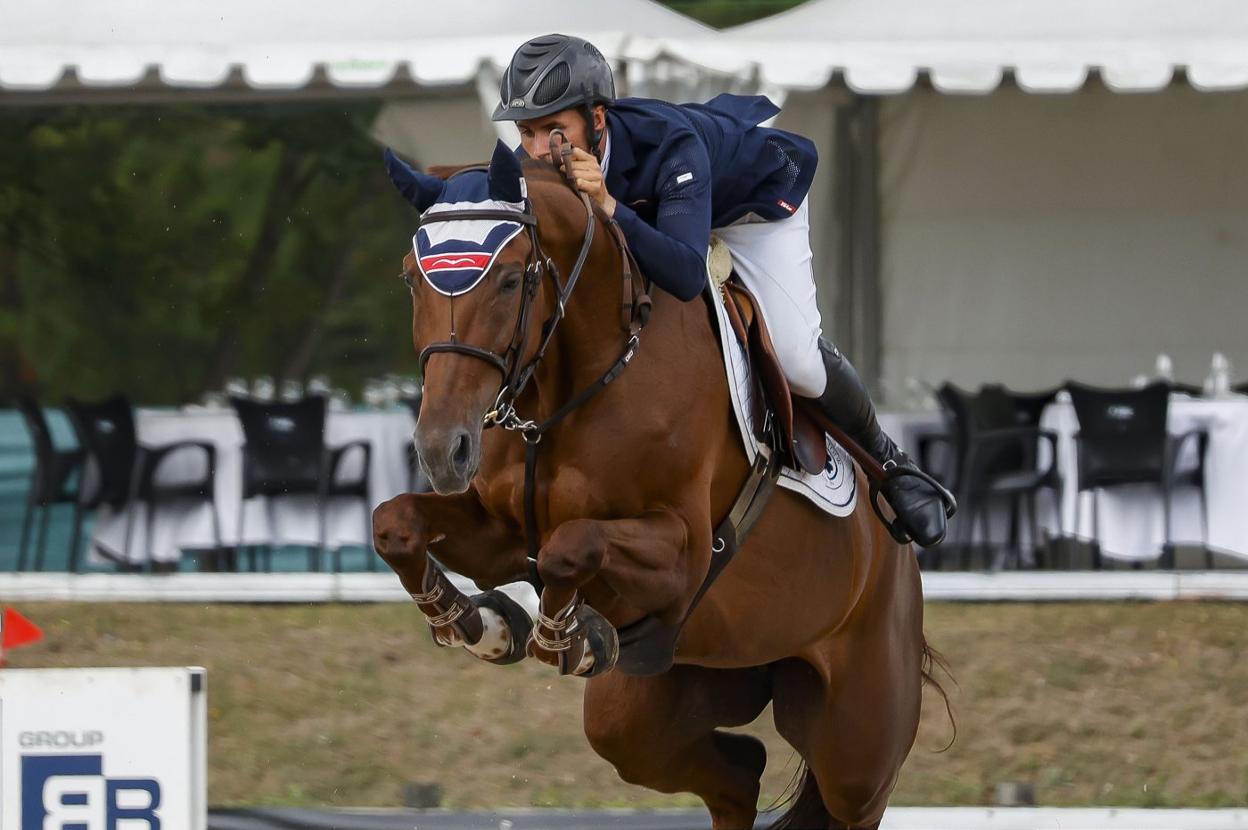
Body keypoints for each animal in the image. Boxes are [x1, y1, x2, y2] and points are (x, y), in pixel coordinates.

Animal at [371, 142, 938, 828]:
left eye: (509, 279)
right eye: (410, 277)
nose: (442, 449)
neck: (571, 386)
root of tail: (900, 565)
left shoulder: (682, 552)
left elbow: (573, 546)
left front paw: (568, 638)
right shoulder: (501, 534)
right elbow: (395, 524)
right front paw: (477, 622)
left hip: (858, 745)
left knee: (842, 793)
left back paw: (915, 497)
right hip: (662, 699)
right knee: (734, 774)